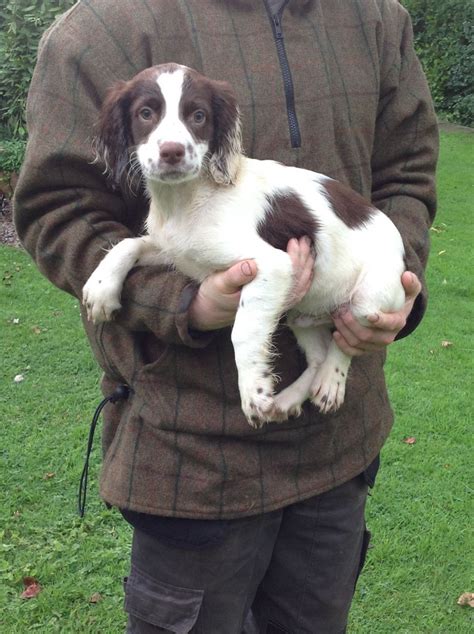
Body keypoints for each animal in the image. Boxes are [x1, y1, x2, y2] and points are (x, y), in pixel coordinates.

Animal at [82, 63, 404, 424]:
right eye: (146, 113)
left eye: (198, 115)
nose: (172, 152)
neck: (187, 199)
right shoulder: (175, 250)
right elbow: (128, 244)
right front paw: (101, 288)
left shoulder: (273, 264)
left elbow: (244, 330)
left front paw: (254, 392)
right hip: (299, 312)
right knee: (318, 354)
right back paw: (289, 399)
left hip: (369, 298)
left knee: (344, 344)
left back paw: (330, 384)